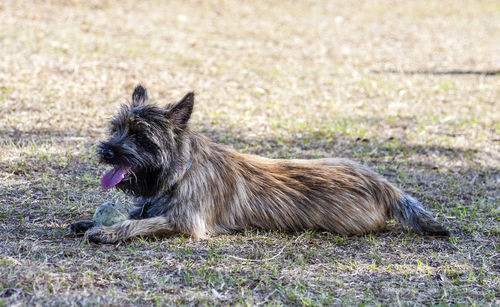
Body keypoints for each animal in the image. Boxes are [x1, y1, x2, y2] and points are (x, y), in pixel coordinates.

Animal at [69, 85, 450, 244]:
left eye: (139, 136)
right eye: (116, 128)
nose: (106, 151)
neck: (181, 171)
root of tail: (384, 185)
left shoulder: (185, 223)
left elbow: (137, 225)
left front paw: (106, 231)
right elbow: (135, 215)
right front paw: (88, 221)